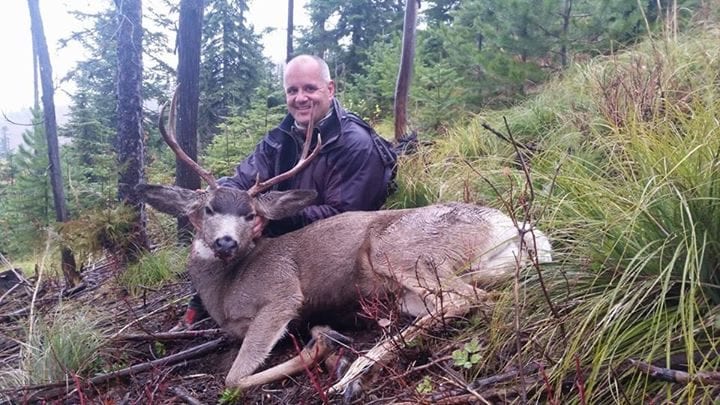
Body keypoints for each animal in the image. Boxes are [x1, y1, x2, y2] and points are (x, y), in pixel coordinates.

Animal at [136, 92, 553, 398]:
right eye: (208, 209)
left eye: (251, 214)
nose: (225, 241)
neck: (225, 290)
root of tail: (516, 228)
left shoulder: (281, 295)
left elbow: (233, 378)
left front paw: (320, 345)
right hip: (417, 287)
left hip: (402, 250)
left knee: (465, 298)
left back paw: (350, 375)